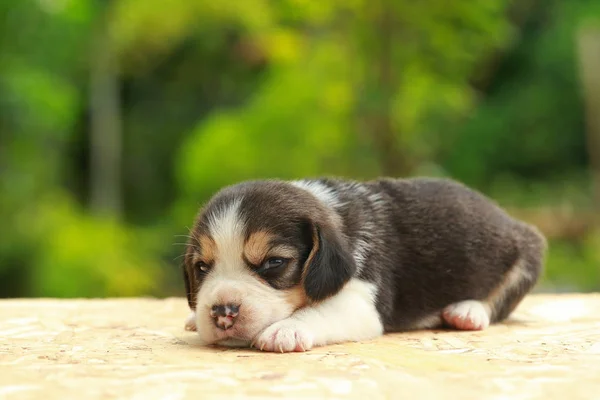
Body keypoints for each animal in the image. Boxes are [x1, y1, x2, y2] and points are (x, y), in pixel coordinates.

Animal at [180, 177, 548, 352]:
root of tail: (508, 218)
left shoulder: (360, 301)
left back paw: (467, 312)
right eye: (202, 268)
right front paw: (195, 316)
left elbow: (318, 311)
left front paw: (286, 329)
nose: (222, 312)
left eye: (273, 262)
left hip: (528, 252)